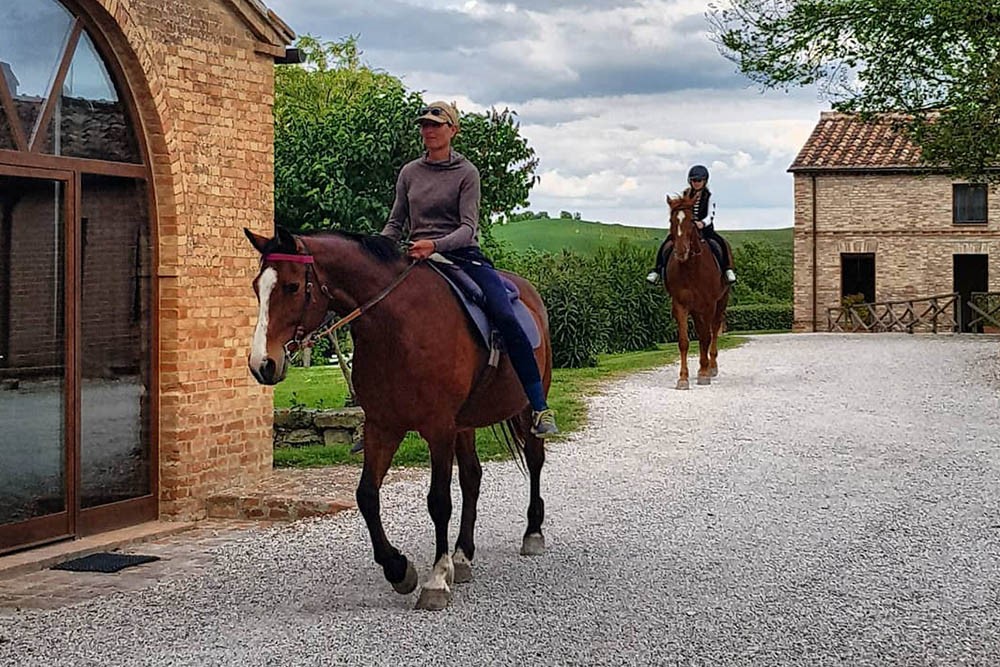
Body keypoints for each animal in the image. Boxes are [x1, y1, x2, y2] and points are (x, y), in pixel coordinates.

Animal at [245, 228, 552, 612]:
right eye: (257, 287)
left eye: (292, 287)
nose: (262, 364)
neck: (397, 326)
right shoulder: (382, 426)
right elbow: (366, 495)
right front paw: (399, 570)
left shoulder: (438, 428)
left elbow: (438, 501)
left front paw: (436, 579)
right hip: (464, 425)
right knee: (472, 477)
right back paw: (463, 556)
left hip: (527, 405)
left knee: (535, 460)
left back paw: (532, 533)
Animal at [668, 192, 732, 392]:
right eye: (671, 220)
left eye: (691, 220)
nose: (681, 252)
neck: (691, 267)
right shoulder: (680, 305)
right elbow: (684, 341)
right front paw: (683, 378)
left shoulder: (709, 305)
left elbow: (705, 337)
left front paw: (704, 373)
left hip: (721, 302)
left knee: (713, 330)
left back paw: (712, 367)